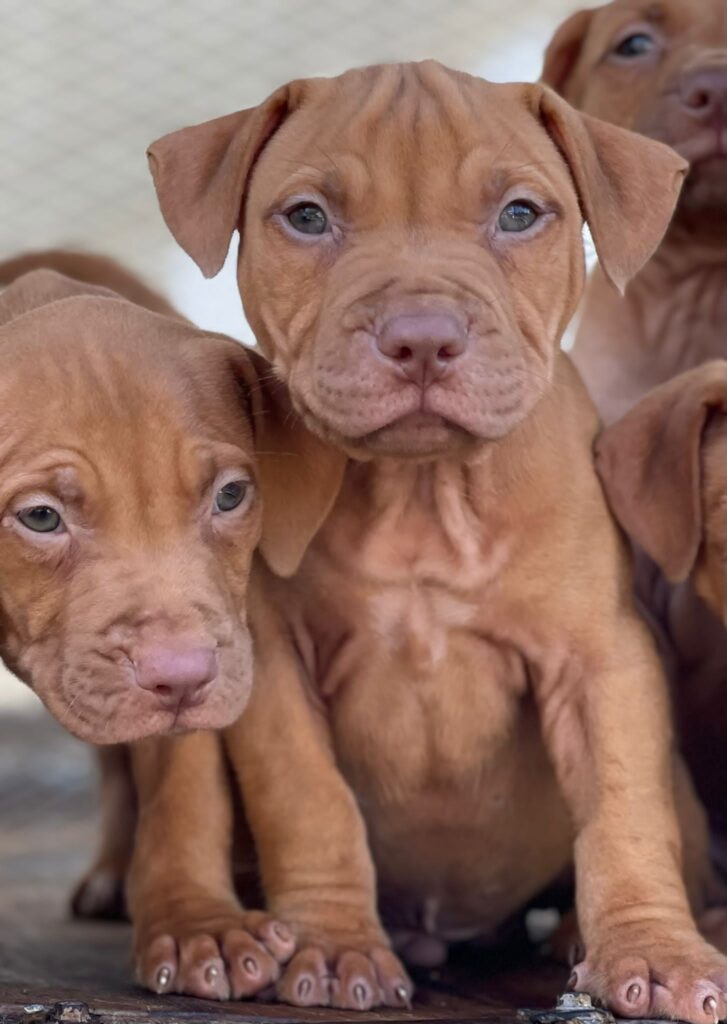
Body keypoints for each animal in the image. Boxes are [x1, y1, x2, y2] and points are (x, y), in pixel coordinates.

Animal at [132, 66, 727, 1024]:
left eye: (519, 214)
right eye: (307, 217)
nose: (420, 337)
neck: (423, 497)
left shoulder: (600, 659)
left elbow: (624, 814)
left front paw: (654, 951)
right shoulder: (273, 666)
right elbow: (310, 799)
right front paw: (336, 944)